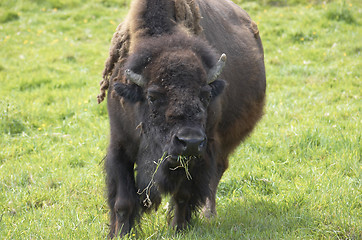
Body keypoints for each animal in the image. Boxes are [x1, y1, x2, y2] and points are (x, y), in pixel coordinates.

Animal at [98, 0, 266, 237]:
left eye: (205, 94)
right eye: (152, 96)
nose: (190, 141)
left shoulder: (200, 153)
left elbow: (184, 194)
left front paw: (178, 228)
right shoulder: (120, 144)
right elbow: (122, 201)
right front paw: (121, 234)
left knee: (216, 174)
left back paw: (208, 214)